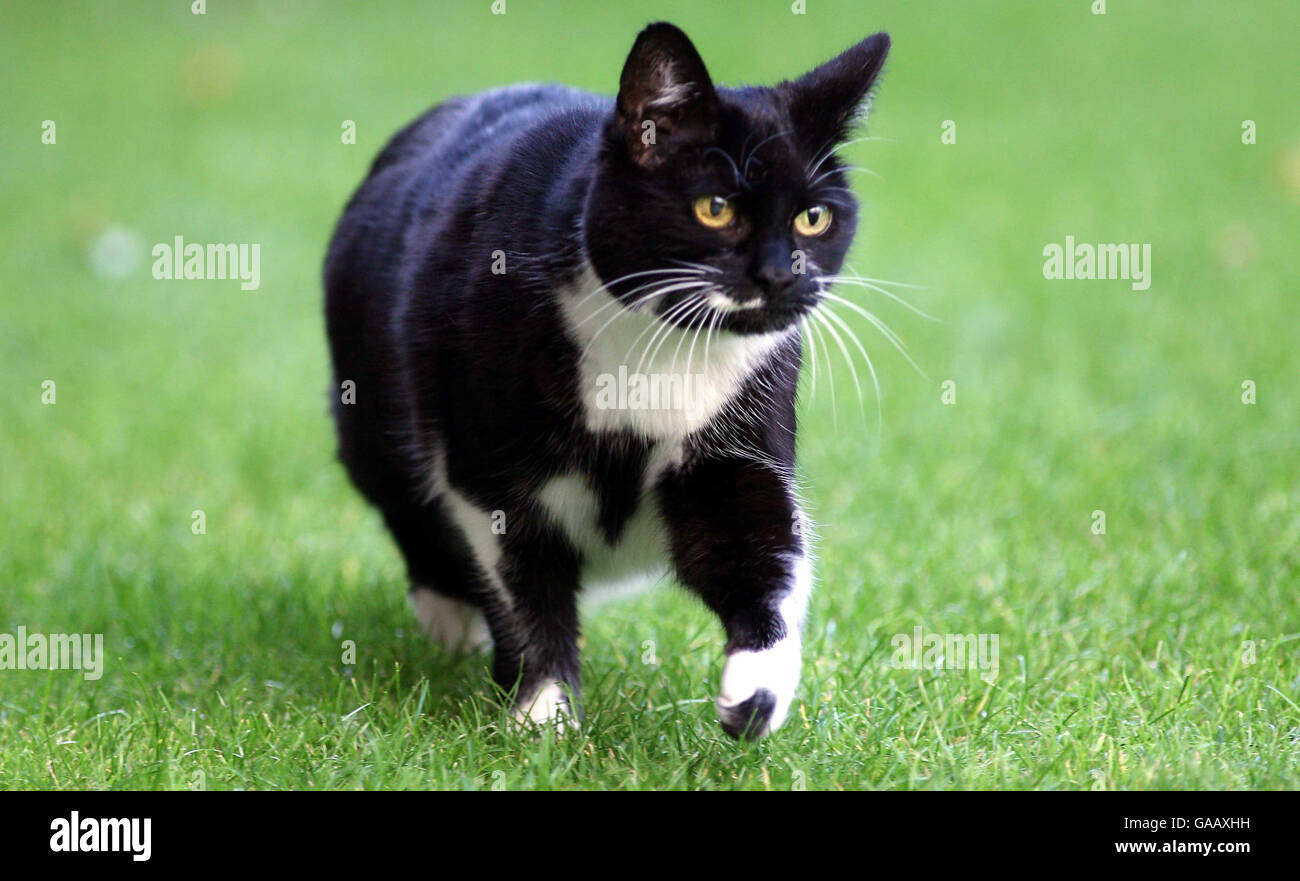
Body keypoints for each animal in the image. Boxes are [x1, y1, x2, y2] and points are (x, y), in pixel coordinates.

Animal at [327, 22, 894, 738]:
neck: (658, 355)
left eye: (813, 218)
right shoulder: (486, 471)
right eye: (714, 208)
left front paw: (756, 693)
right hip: (366, 412)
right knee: (405, 504)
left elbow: (764, 548)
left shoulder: (736, 438)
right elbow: (523, 584)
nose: (779, 274)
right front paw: (543, 716)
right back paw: (450, 618)